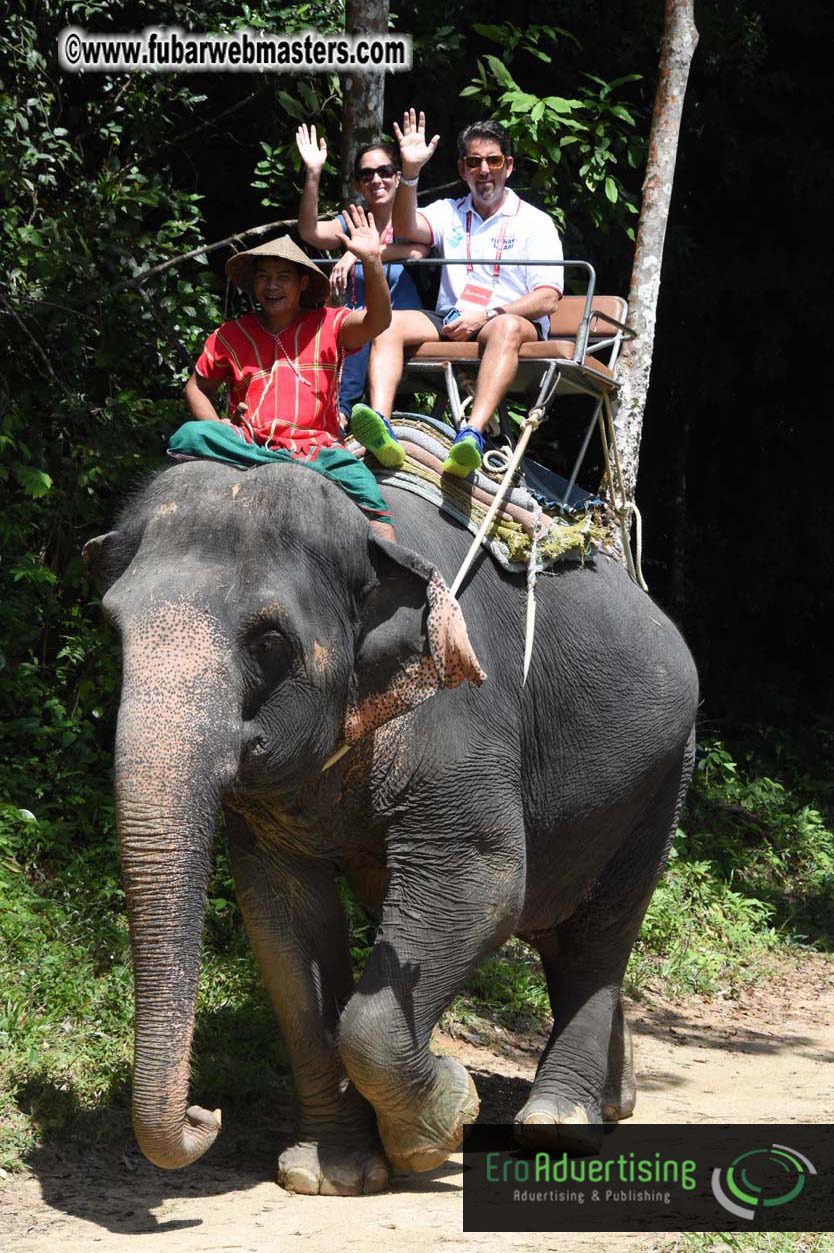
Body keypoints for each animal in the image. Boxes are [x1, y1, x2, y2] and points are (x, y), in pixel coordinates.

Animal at [84, 455, 698, 1196]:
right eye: (113, 628)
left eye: (268, 640)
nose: (208, 1113)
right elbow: (283, 921)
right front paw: (329, 1175)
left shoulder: (462, 717)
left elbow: (486, 883)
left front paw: (441, 1123)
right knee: (561, 935)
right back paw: (615, 1102)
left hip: (663, 778)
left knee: (601, 933)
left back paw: (559, 1125)